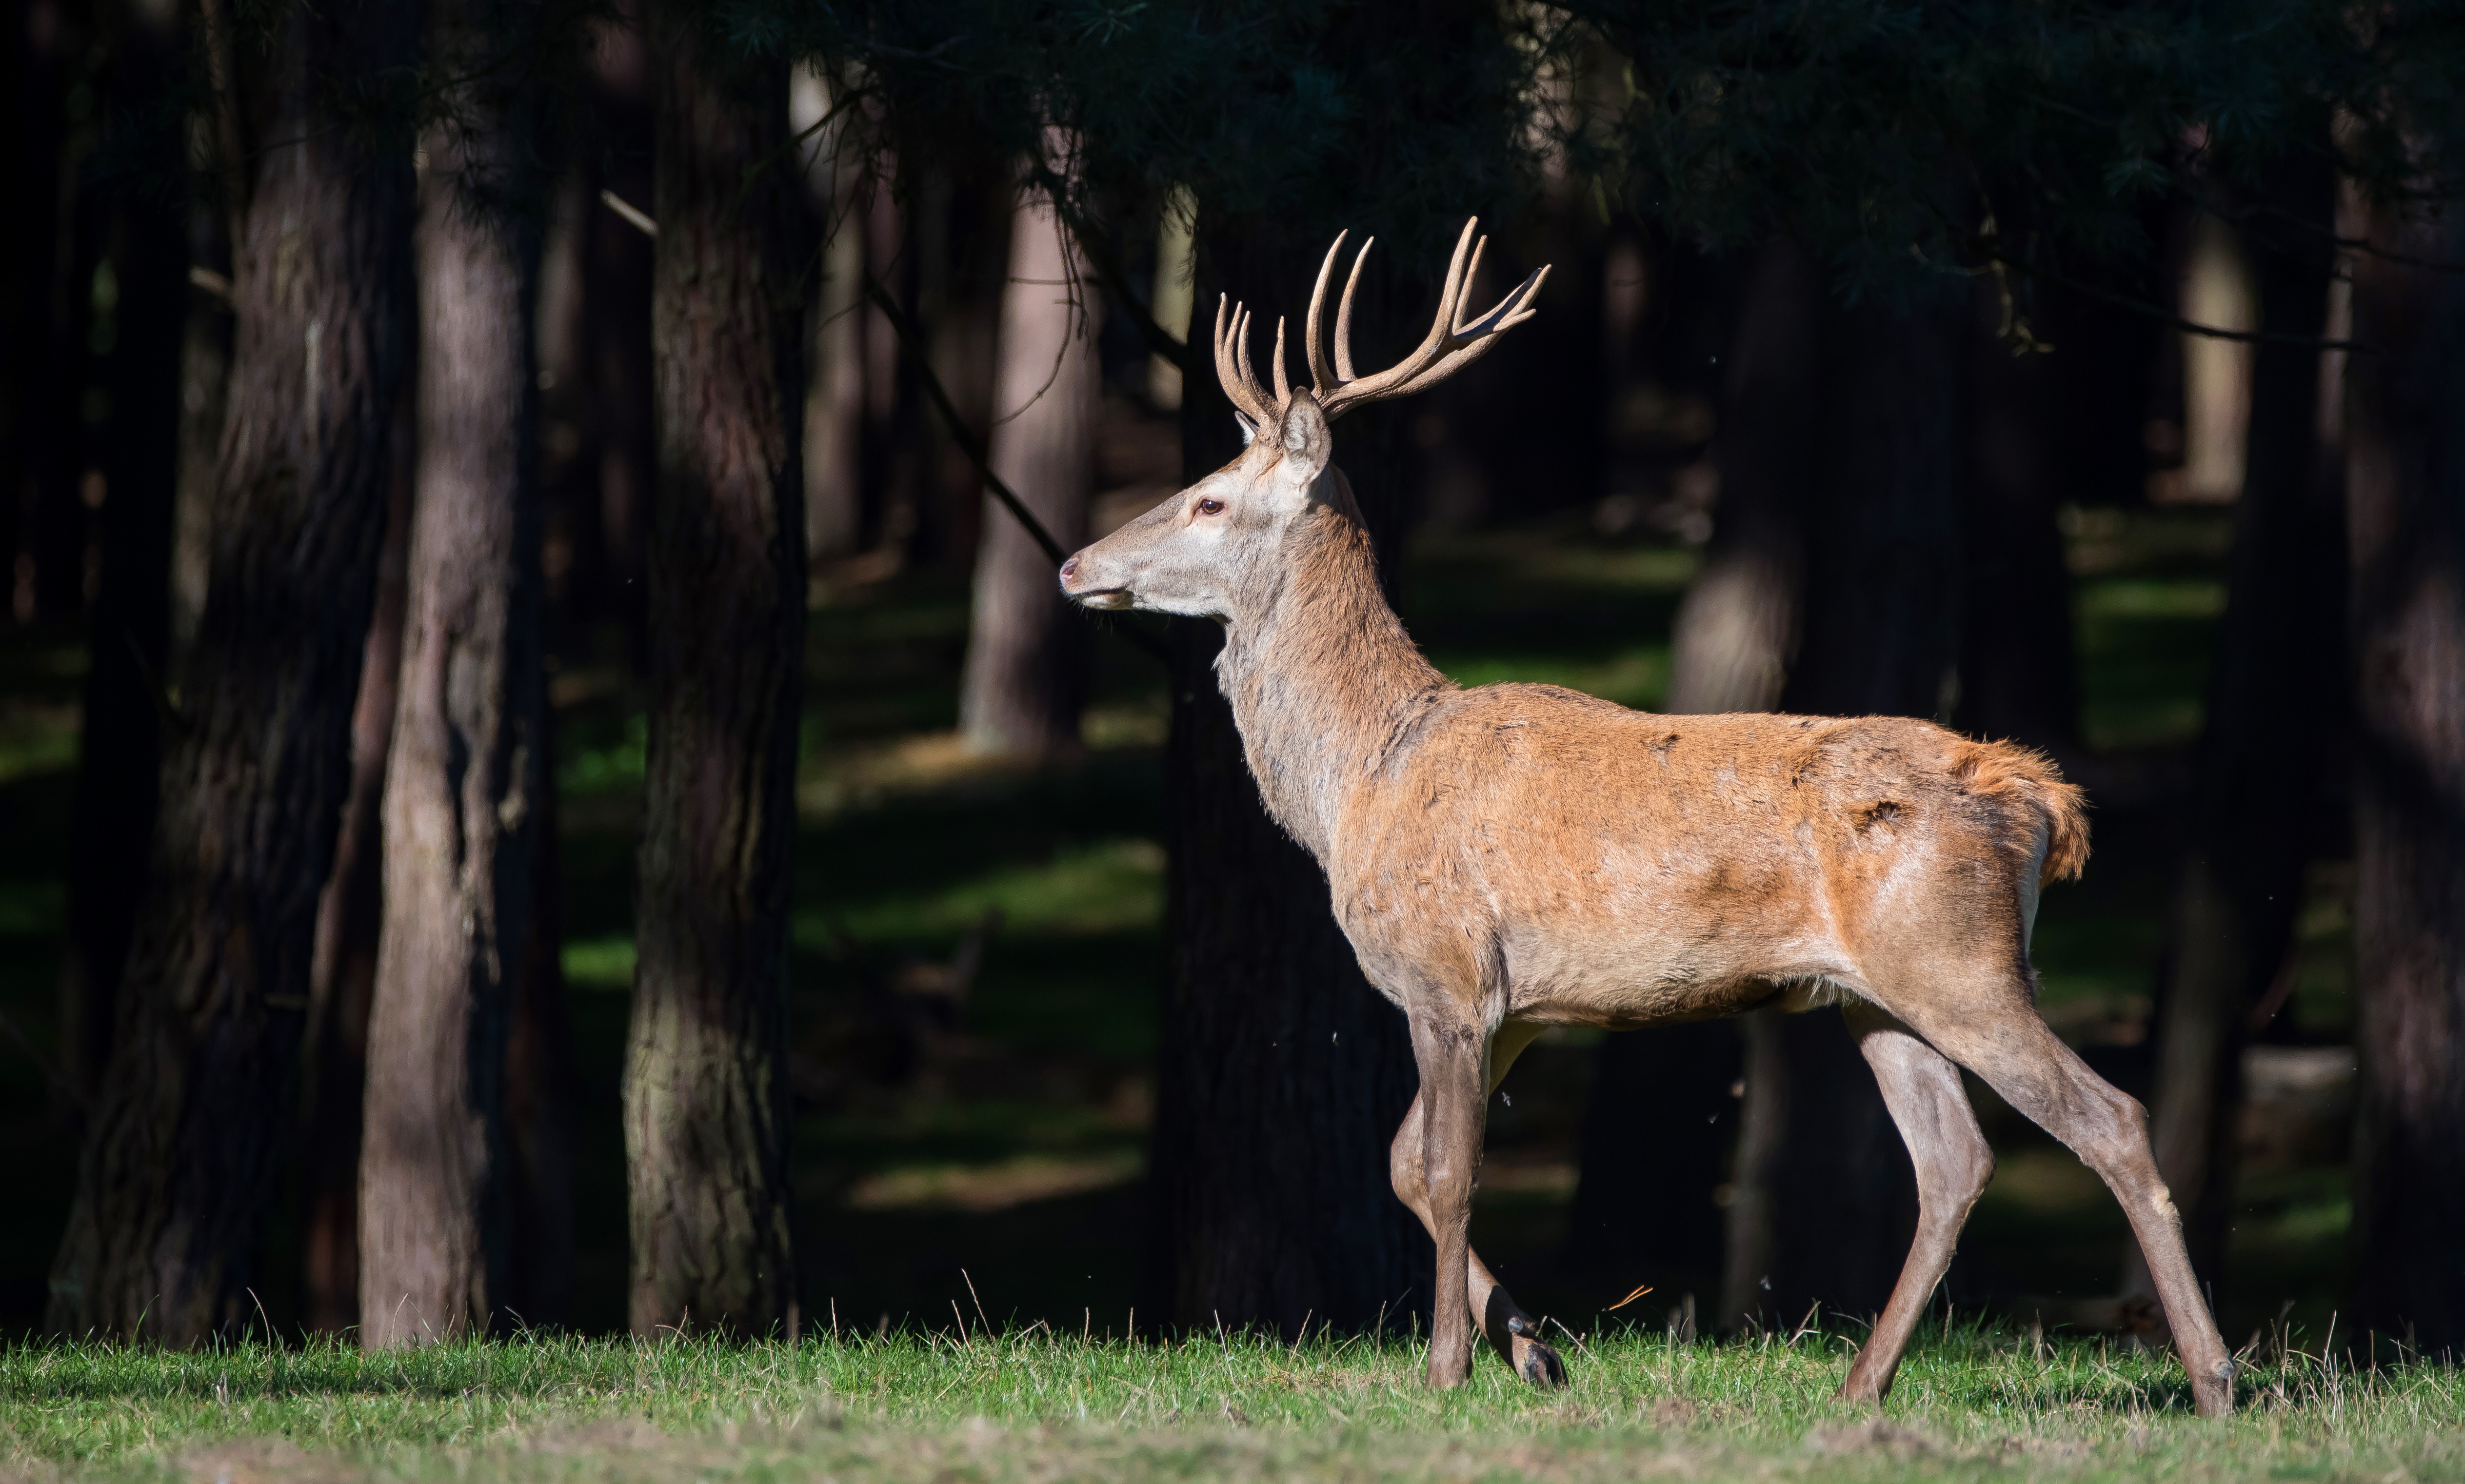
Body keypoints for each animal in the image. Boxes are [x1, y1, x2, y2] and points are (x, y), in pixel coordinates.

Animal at [1050, 217, 2248, 1410]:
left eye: (1209, 498)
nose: (1072, 564)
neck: (1357, 784)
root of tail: (2040, 797)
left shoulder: (1447, 972)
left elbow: (1444, 1170)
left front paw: (1443, 1369)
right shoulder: (1524, 1006)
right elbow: (1402, 1166)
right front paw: (1536, 1350)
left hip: (1961, 962)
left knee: (2109, 1119)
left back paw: (2213, 1377)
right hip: (1877, 997)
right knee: (1955, 1160)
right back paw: (1860, 1384)